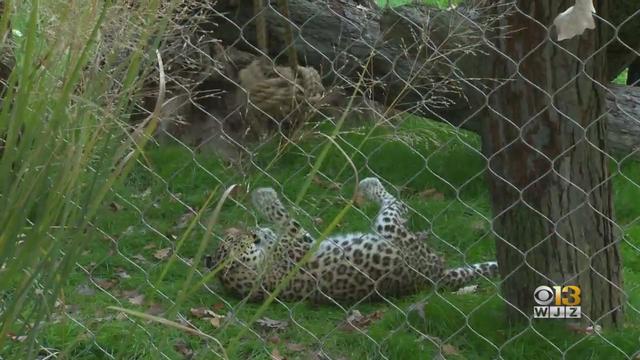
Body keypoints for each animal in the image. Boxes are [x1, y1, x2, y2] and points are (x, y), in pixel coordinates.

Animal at [206, 179, 500, 302]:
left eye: (232, 236)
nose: (251, 232)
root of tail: (435, 273)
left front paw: (263, 222)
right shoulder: (303, 245)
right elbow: (287, 220)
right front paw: (265, 198)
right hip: (391, 232)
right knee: (398, 205)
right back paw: (370, 184)